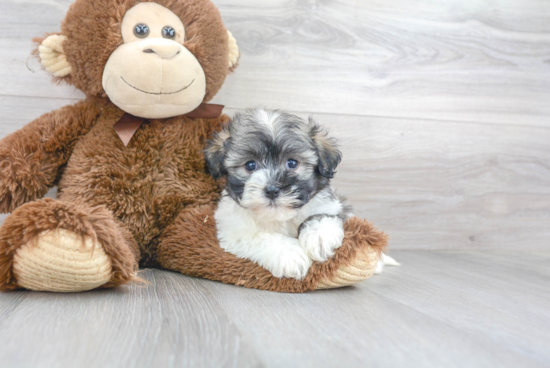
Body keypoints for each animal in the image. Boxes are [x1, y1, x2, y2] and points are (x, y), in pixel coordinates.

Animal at [205, 108, 352, 280]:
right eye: (250, 165)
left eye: (292, 163)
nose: (272, 190)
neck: (279, 217)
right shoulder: (234, 231)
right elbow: (262, 237)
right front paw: (290, 254)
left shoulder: (332, 204)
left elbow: (323, 215)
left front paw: (319, 236)